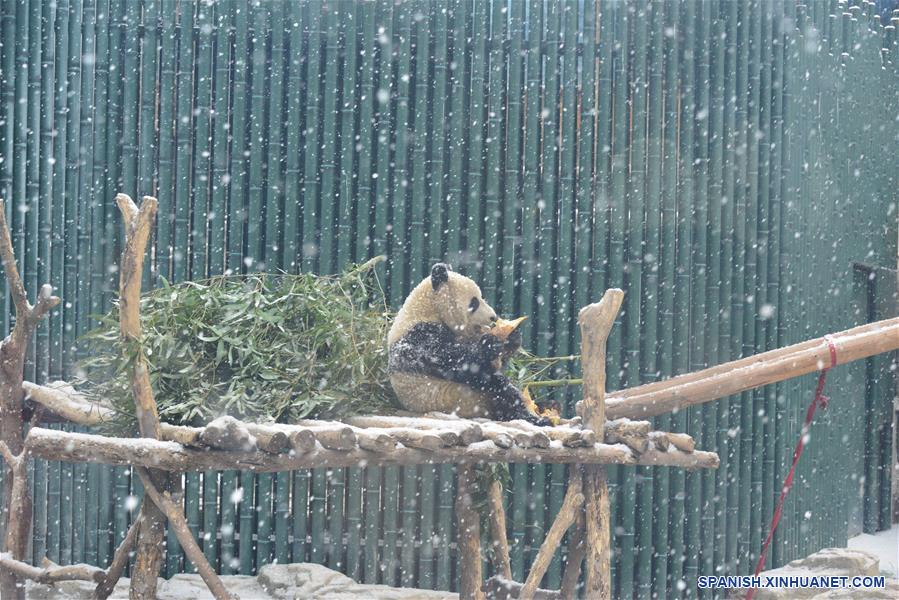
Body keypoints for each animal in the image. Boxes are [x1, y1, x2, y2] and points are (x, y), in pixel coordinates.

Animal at [390, 264, 552, 426]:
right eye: (474, 302)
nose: (493, 317)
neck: (428, 308)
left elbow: (495, 364)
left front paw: (511, 336)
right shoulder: (420, 337)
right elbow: (460, 363)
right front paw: (489, 345)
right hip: (457, 398)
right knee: (497, 387)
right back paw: (530, 417)